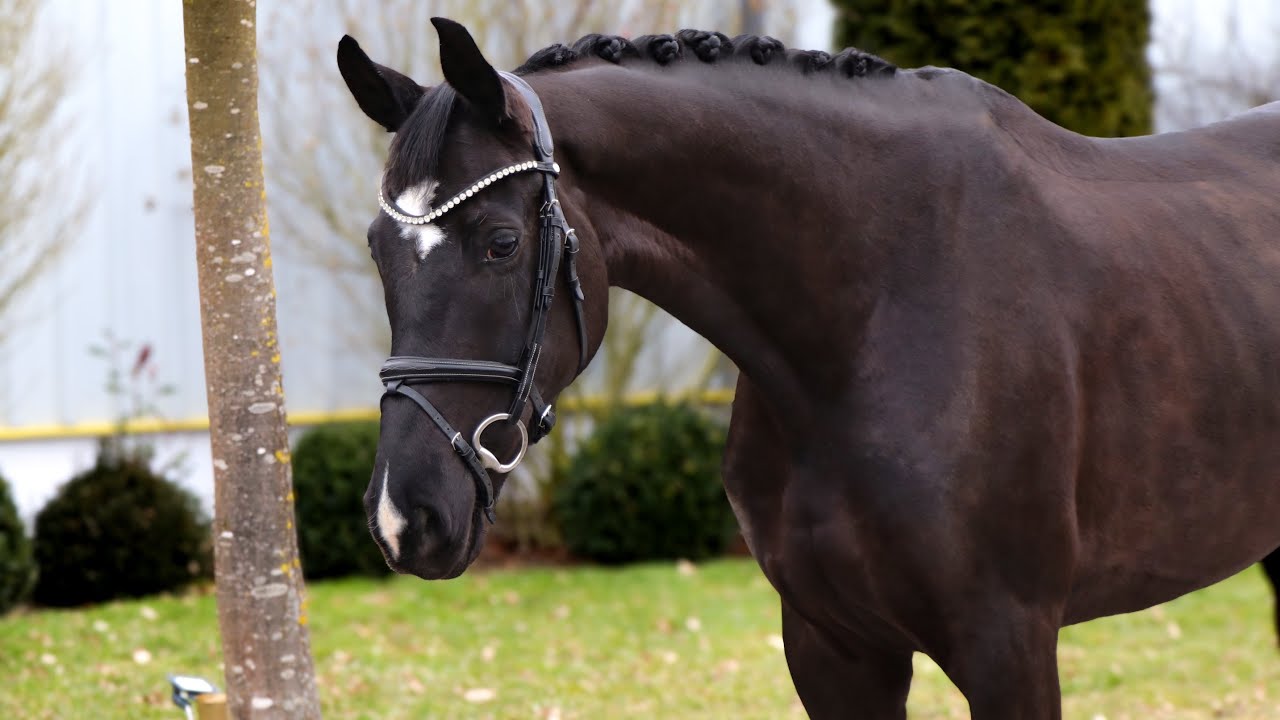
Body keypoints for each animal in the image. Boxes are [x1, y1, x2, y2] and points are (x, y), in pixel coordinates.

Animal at [337, 18, 1280, 719]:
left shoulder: (1009, 645)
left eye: (500, 242)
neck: (875, 312)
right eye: (379, 249)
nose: (403, 517)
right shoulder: (833, 647)